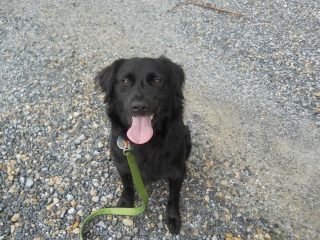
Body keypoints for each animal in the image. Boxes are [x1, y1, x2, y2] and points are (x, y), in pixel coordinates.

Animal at [94, 56, 190, 234]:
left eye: (157, 80)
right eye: (125, 81)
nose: (139, 107)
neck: (146, 142)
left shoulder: (176, 170)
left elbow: (174, 196)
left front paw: (173, 217)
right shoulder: (123, 163)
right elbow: (127, 185)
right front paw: (126, 203)